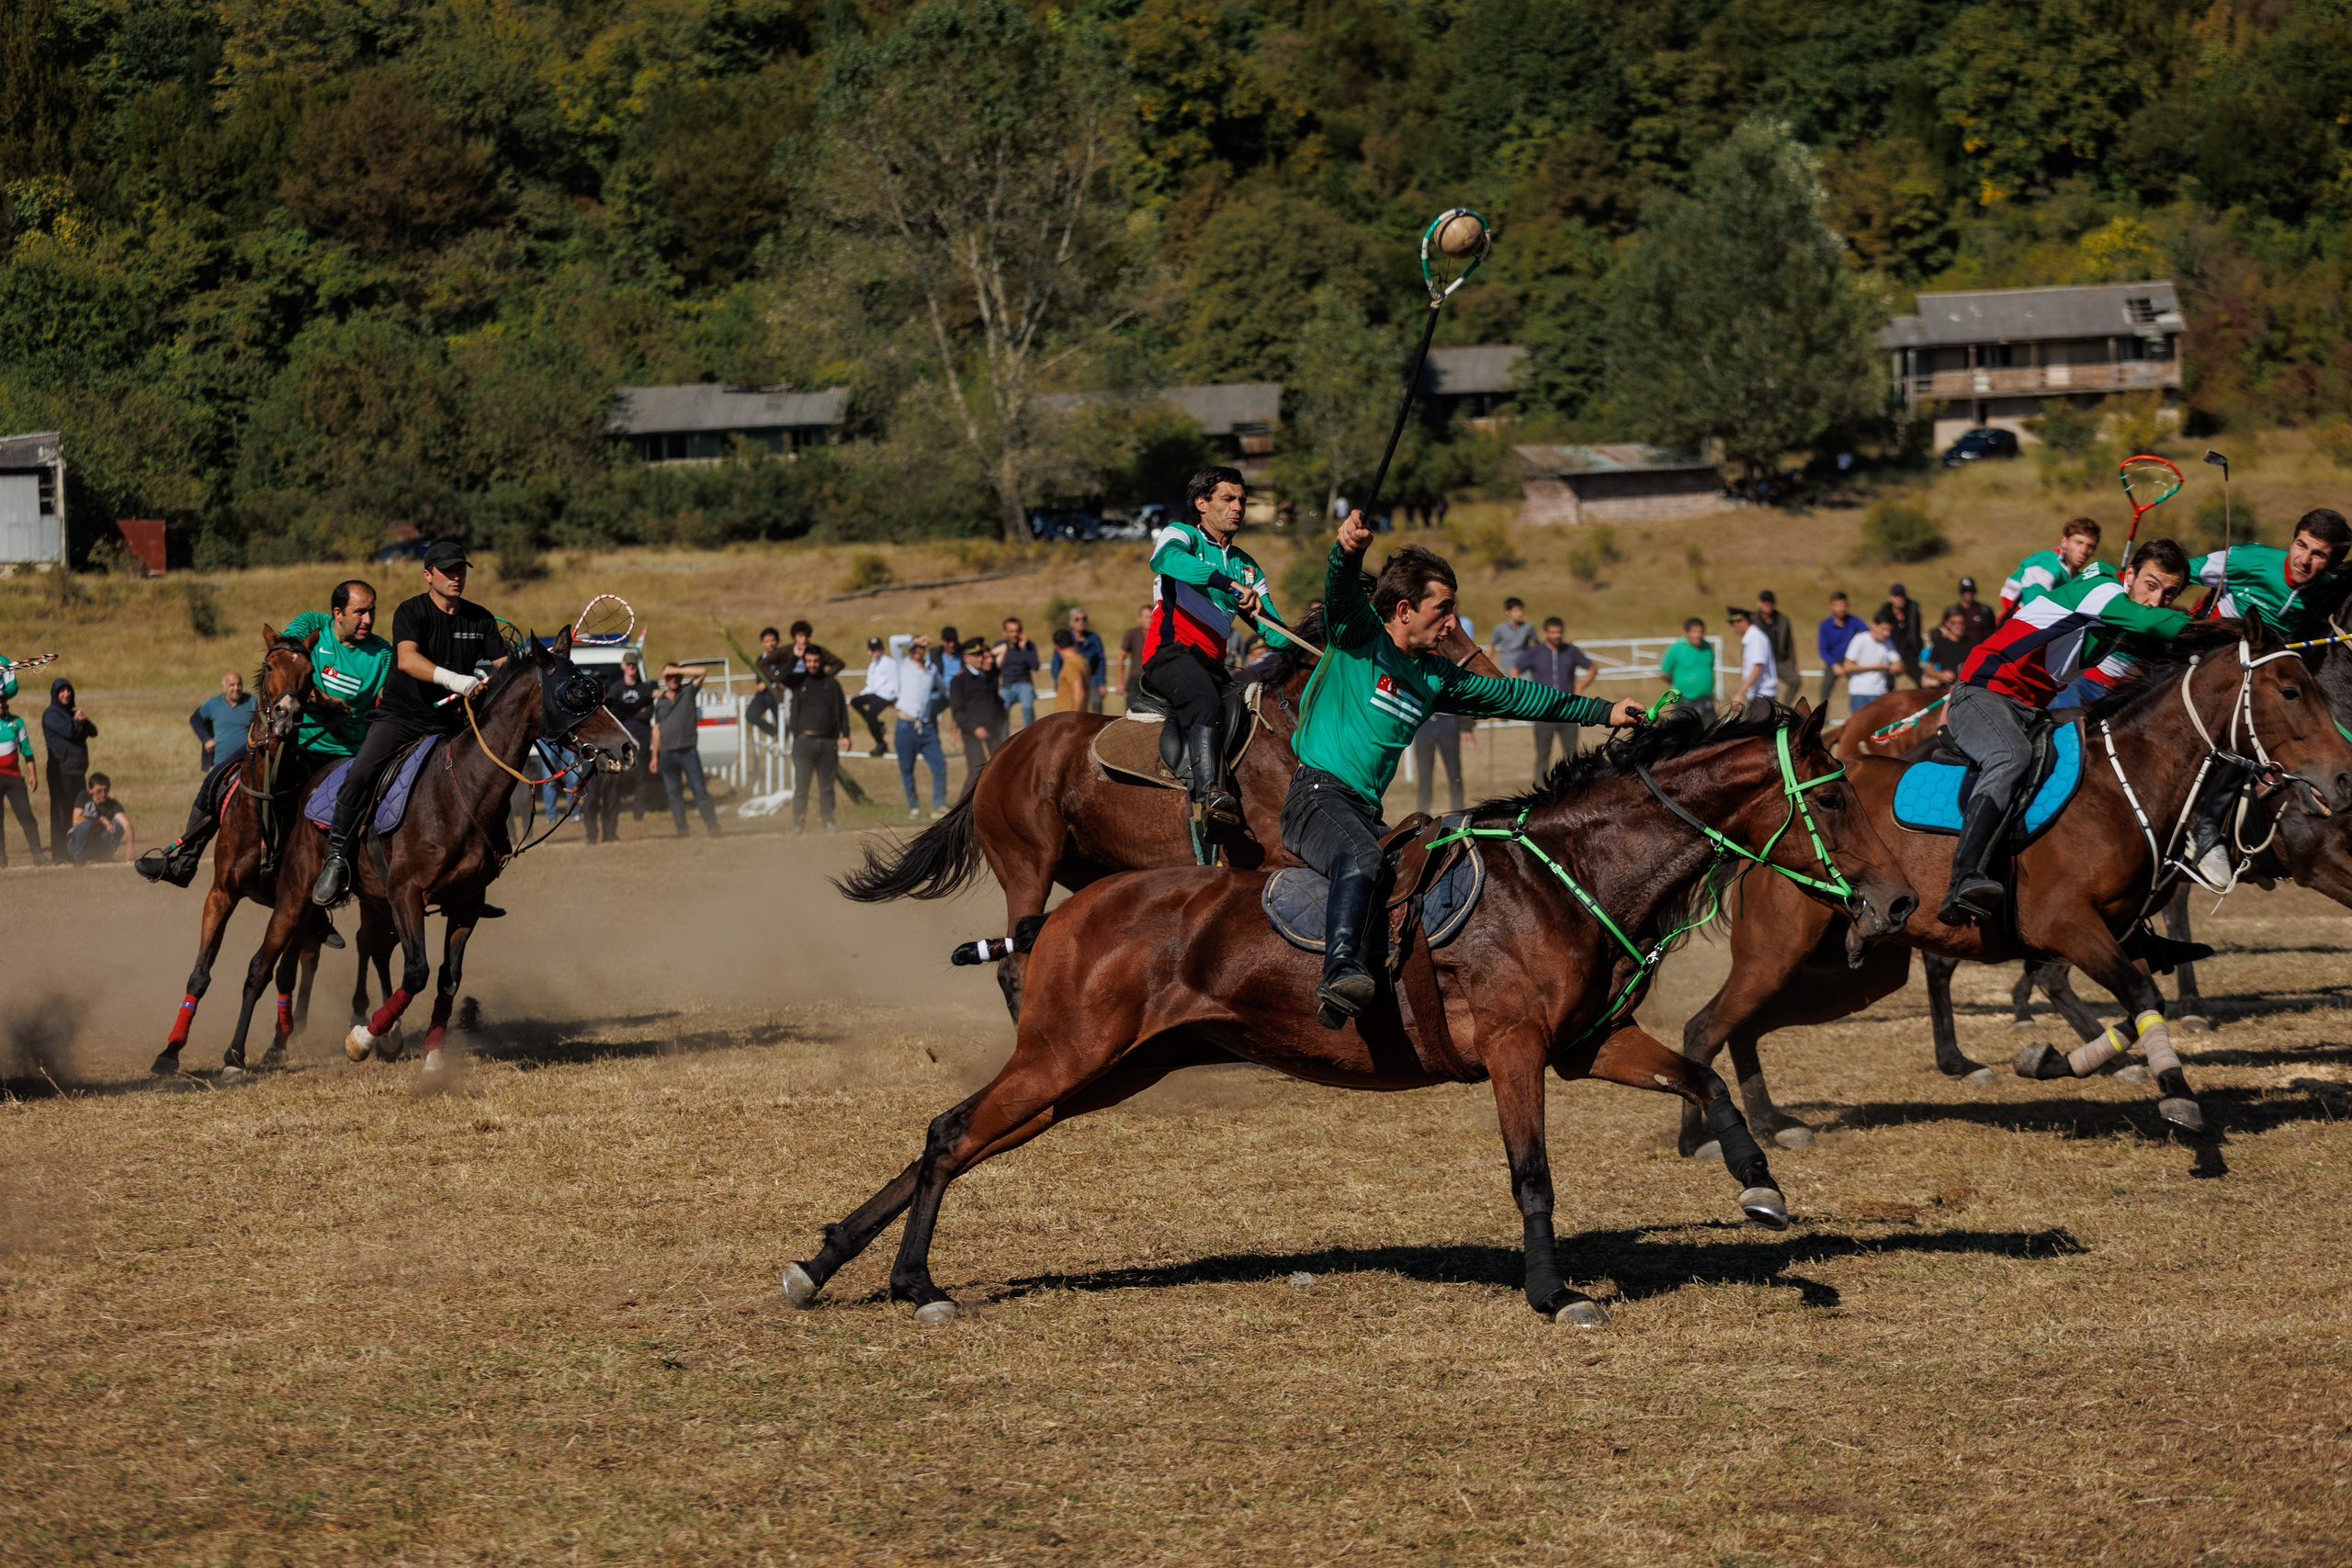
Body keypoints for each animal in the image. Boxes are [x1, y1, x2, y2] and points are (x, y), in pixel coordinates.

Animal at [217, 629, 637, 1072]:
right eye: (574, 692)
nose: (628, 748)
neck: (463, 789)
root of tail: (313, 778)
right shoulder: (407, 893)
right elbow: (416, 971)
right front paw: (362, 1039)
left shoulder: (466, 903)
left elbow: (447, 978)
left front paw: (432, 1053)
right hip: (297, 892)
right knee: (262, 964)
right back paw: (236, 1055)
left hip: (373, 900)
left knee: (371, 947)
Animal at [781, 702, 1920, 1326]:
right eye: (1832, 799)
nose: (1900, 901)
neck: (1572, 876)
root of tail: (1061, 916)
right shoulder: (1515, 1052)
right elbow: (1532, 1175)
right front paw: (1554, 1294)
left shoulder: (1586, 1045)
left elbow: (1704, 1076)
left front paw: (1760, 1186)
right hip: (1068, 1055)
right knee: (950, 1134)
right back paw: (909, 1280)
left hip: (1099, 1074)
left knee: (954, 1136)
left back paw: (828, 1262)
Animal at [836, 613, 1504, 1019]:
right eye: (1443, 625)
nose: (1493, 679)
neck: (1293, 724)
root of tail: (1000, 755)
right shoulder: (1277, 854)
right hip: (1028, 865)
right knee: (1016, 961)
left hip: (1094, 867)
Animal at [1674, 621, 2352, 1152]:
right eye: (2290, 690)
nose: (2344, 777)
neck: (2122, 785)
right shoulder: (2068, 926)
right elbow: (2137, 994)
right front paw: (2175, 1092)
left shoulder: (2118, 932)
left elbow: (2133, 1004)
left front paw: (2051, 1060)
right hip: (1776, 951)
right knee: (1705, 1028)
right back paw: (1705, 1136)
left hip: (1856, 971)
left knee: (1744, 1026)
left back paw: (1772, 1121)